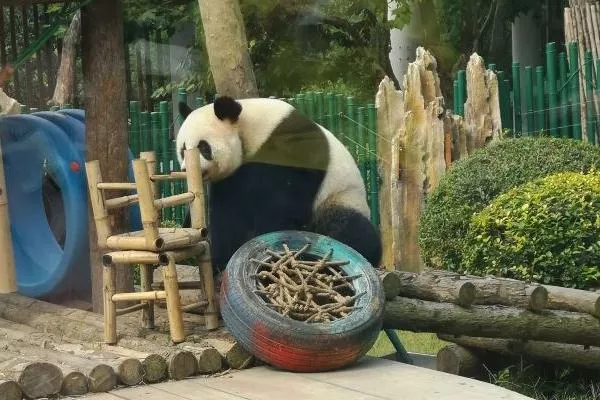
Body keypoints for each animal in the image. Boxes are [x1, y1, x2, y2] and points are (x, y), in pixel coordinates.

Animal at [176, 96, 380, 272]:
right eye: (183, 149)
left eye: (203, 147)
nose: (186, 169)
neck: (251, 130)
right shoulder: (230, 179)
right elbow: (228, 214)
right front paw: (219, 263)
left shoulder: (289, 150)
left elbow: (279, 206)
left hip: (342, 197)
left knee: (349, 228)